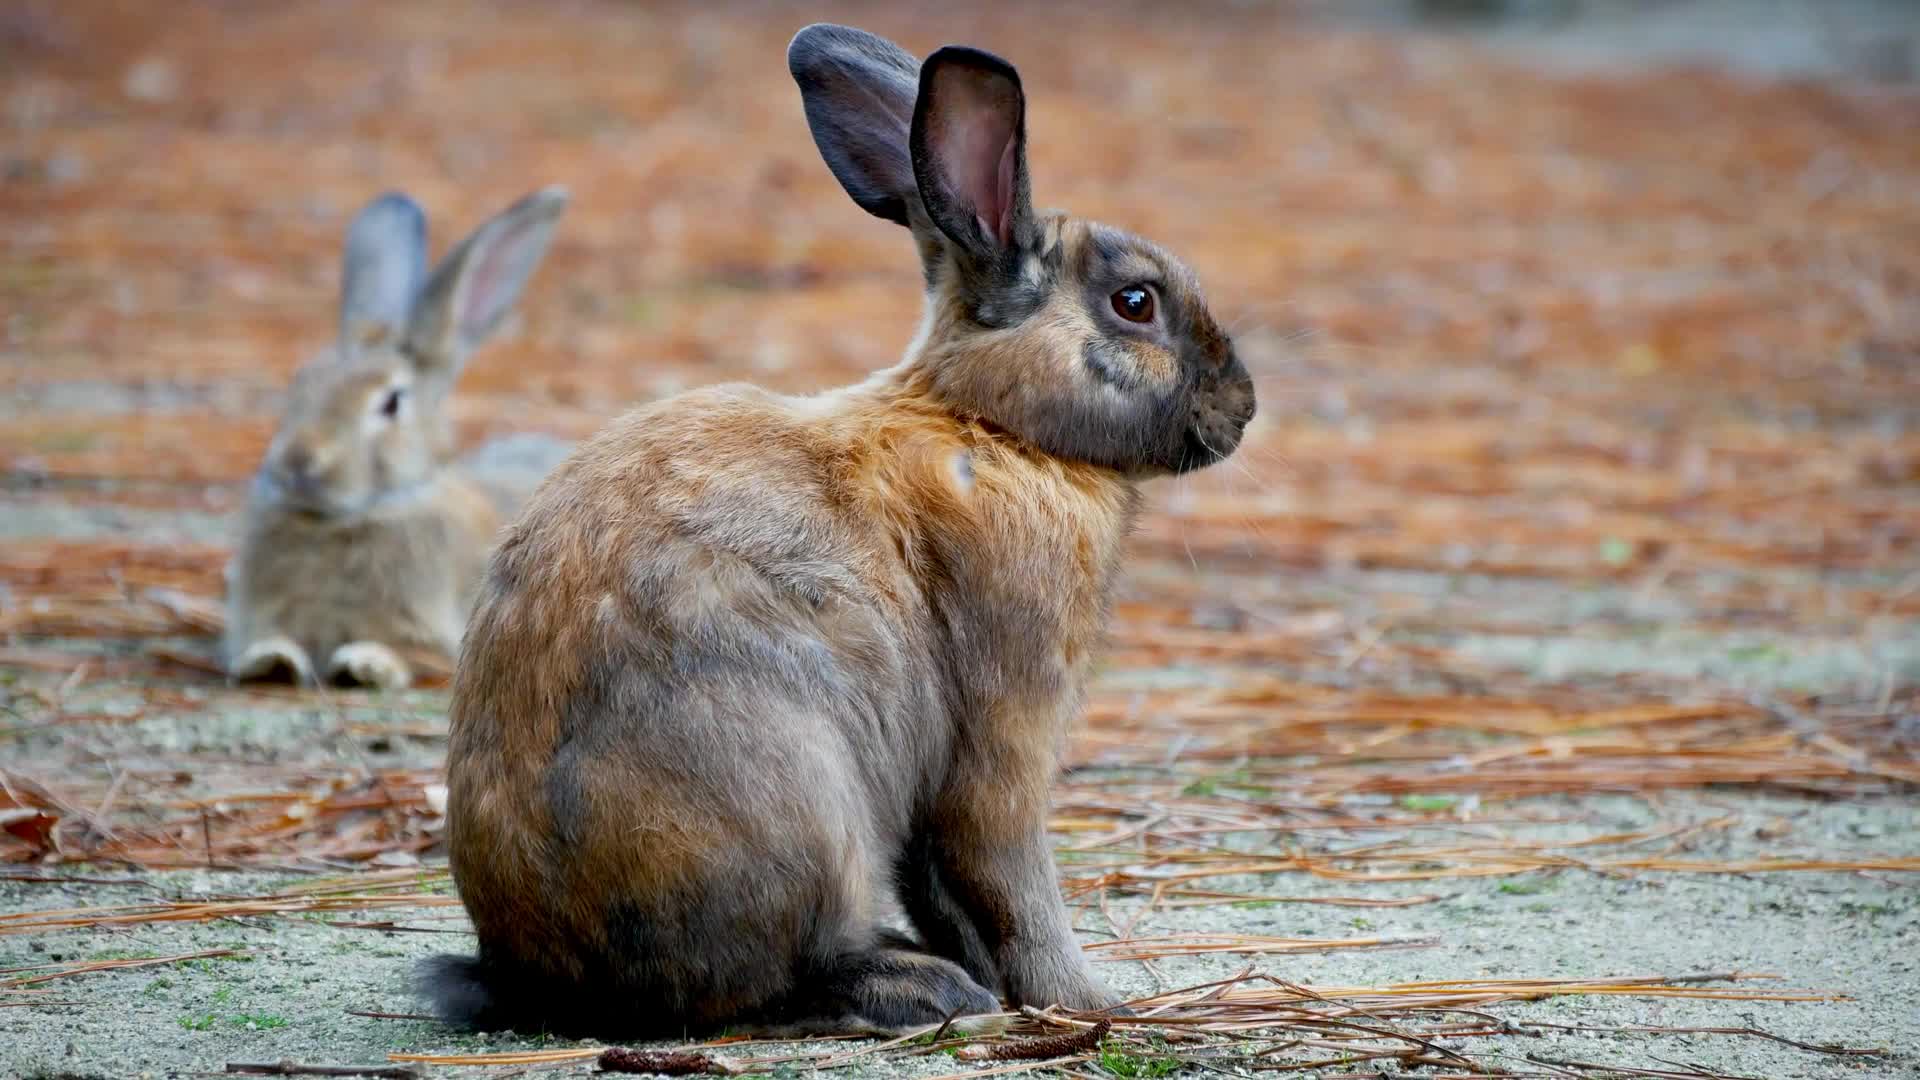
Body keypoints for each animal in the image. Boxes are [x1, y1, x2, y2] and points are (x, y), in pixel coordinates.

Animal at [223, 186, 570, 691]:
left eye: (390, 403)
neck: (348, 518)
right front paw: (270, 660)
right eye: (301, 381)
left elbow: (408, 654)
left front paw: (366, 664)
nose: (299, 461)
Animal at [422, 23, 1256, 1039]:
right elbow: (1007, 878)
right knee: (772, 976)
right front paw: (1089, 1003)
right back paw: (919, 988)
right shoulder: (1001, 740)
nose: (1243, 407)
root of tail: (543, 973)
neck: (992, 425)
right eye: (1136, 303)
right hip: (800, 798)